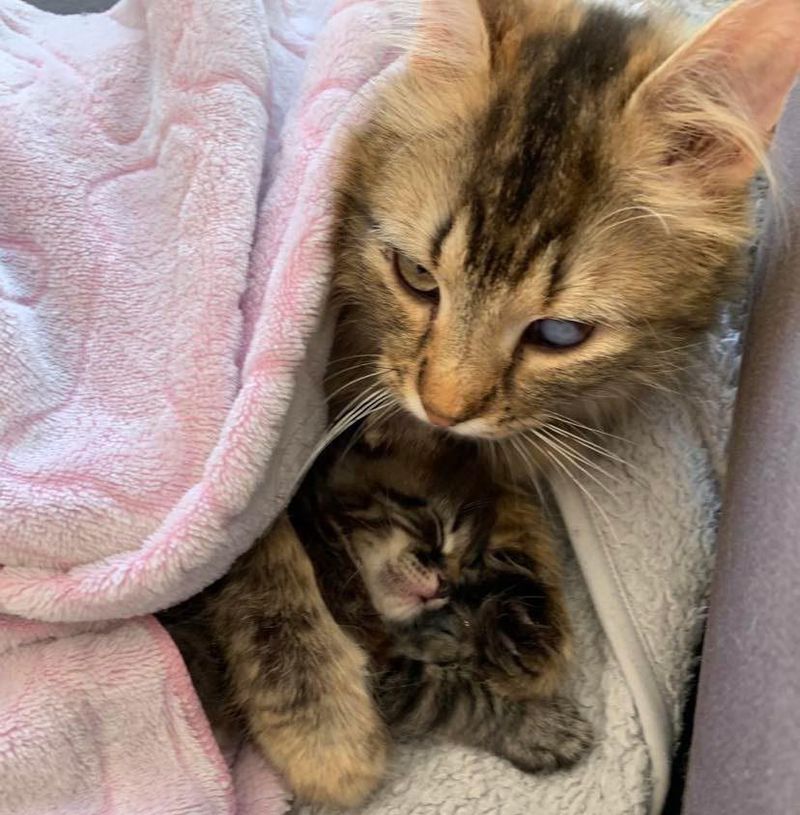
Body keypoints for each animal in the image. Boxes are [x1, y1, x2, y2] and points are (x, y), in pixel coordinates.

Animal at [170, 0, 800, 808]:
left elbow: (484, 476)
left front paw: (528, 623)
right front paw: (324, 730)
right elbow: (261, 559)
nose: (441, 405)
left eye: (560, 334)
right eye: (415, 275)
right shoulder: (275, 457)